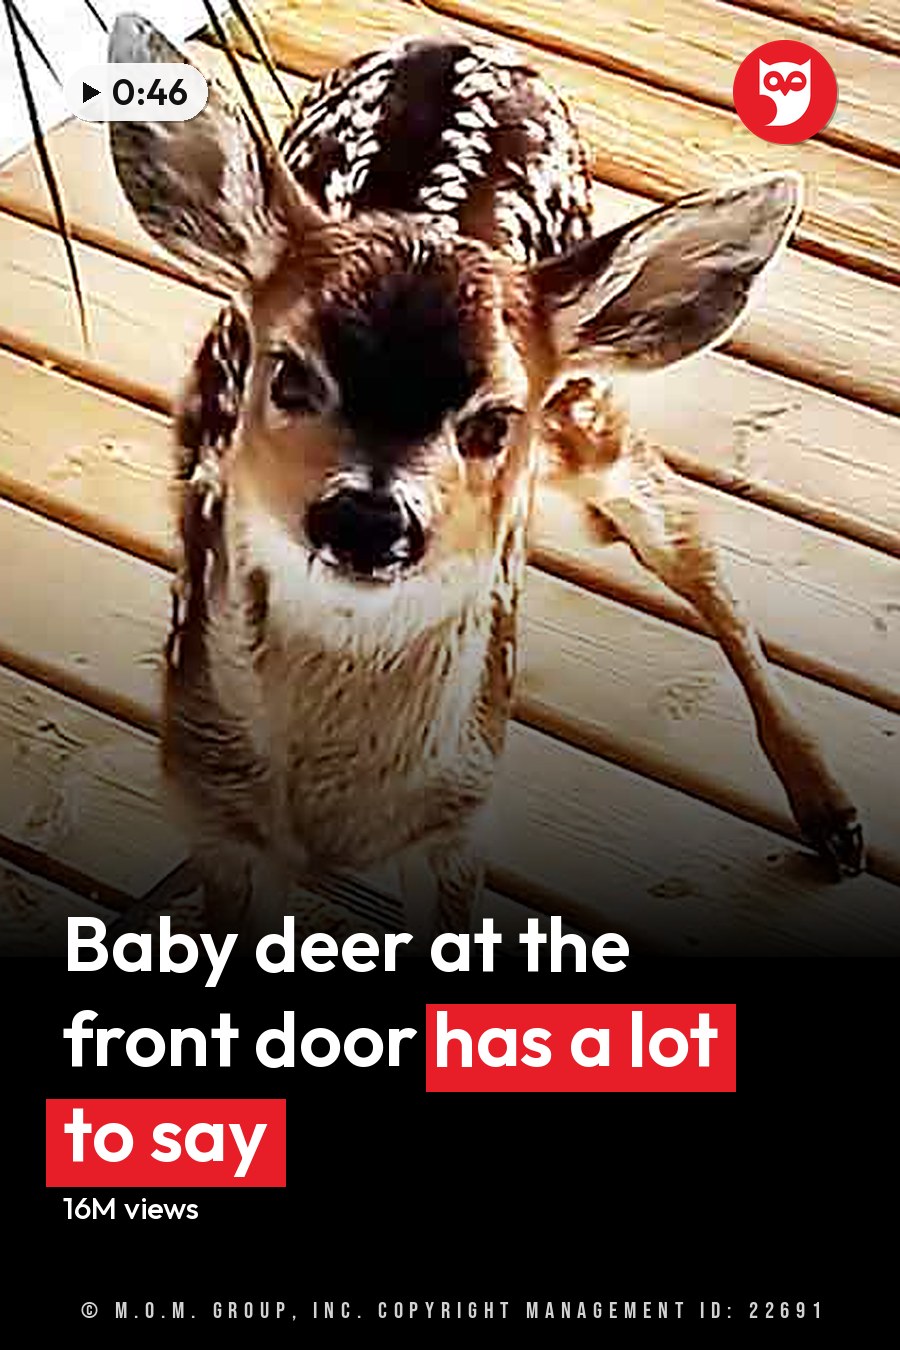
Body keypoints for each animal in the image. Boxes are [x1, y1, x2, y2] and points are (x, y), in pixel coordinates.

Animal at [105, 13, 863, 945]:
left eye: (496, 419)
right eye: (288, 375)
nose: (369, 518)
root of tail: (454, 41)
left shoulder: (461, 812)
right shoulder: (213, 806)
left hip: (584, 406)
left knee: (687, 542)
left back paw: (831, 812)